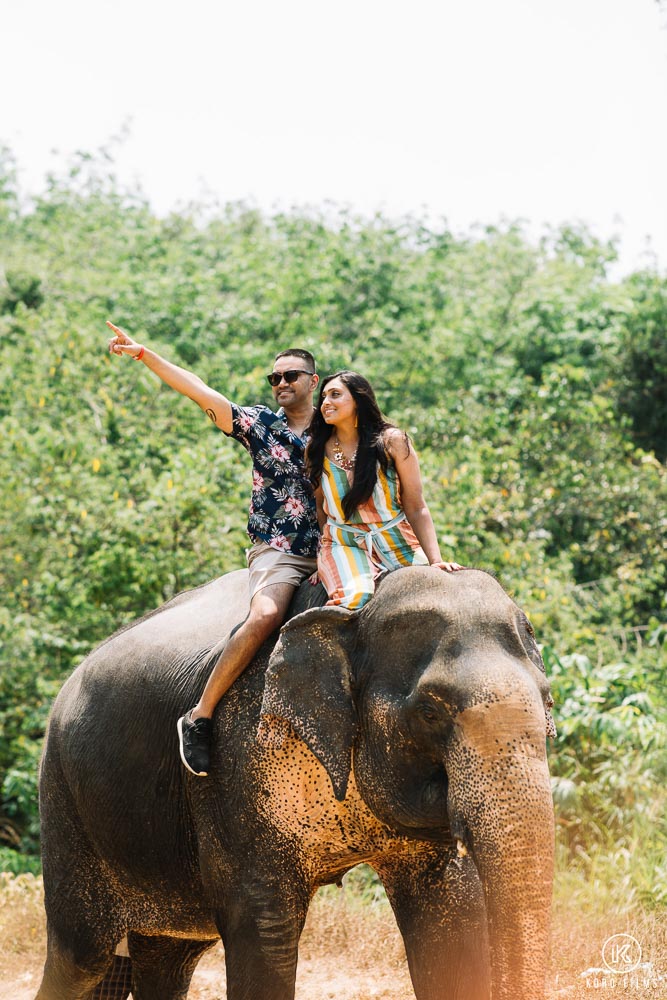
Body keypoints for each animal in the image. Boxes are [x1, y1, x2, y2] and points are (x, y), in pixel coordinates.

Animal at [35, 568, 552, 996]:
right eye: (429, 711)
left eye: (547, 701)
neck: (353, 612)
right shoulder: (237, 764)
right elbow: (263, 925)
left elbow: (451, 917)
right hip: (63, 803)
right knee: (81, 958)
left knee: (165, 958)